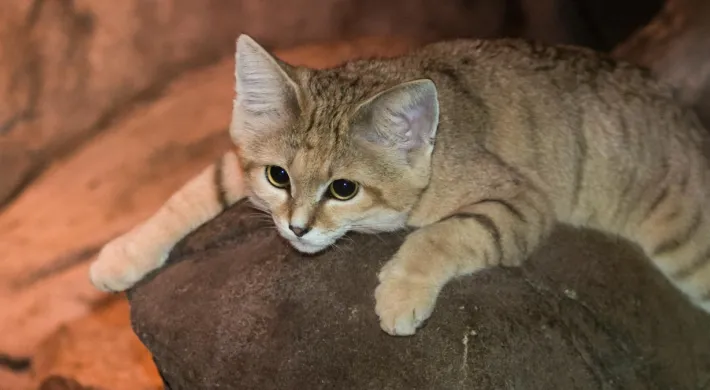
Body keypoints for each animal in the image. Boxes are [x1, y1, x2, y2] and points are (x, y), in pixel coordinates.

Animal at [89, 35, 710, 336]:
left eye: (344, 190)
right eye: (278, 175)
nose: (296, 229)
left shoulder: (520, 200)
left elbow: (446, 233)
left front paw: (401, 294)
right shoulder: (241, 166)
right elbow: (199, 185)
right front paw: (122, 253)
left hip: (687, 247)